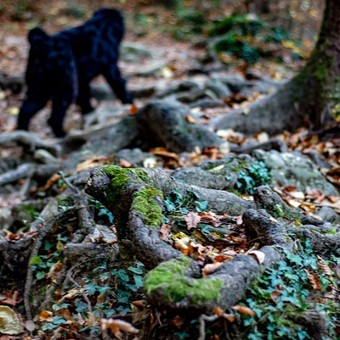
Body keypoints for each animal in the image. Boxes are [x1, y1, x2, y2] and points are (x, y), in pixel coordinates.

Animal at [16, 9, 133, 137]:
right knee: (54, 118)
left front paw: (89, 113)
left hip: (39, 89)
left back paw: (23, 134)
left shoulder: (82, 81)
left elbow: (85, 98)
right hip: (64, 89)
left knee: (24, 112)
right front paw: (129, 104)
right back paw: (62, 135)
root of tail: (43, 44)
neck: (102, 26)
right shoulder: (111, 70)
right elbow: (121, 86)